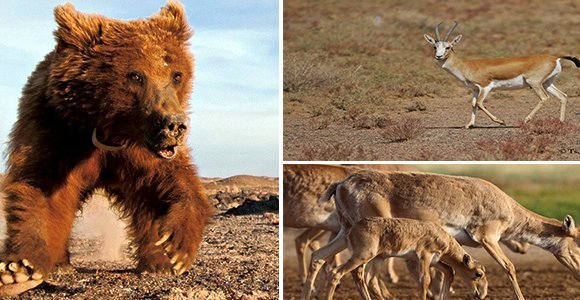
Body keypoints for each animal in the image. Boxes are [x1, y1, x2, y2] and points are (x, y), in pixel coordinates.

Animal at [0, 1, 213, 296]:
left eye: (176, 75)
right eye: (135, 75)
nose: (174, 125)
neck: (109, 129)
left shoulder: (142, 151)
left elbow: (169, 184)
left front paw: (174, 250)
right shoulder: (57, 129)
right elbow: (40, 188)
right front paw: (20, 268)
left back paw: (156, 264)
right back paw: (61, 263)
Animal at [324, 218, 488, 300]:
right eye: (478, 274)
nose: (480, 294)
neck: (444, 240)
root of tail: (351, 229)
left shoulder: (435, 261)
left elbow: (449, 271)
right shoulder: (425, 256)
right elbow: (425, 280)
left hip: (377, 258)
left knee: (368, 280)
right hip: (363, 256)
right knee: (336, 273)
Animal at [422, 21, 580, 127]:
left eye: (448, 47)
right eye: (435, 46)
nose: (438, 56)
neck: (466, 66)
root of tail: (555, 57)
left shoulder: (485, 86)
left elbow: (479, 103)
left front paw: (501, 121)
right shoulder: (474, 89)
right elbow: (473, 104)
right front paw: (469, 124)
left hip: (535, 84)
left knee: (544, 98)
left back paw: (526, 120)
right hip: (547, 83)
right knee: (563, 96)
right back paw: (560, 122)